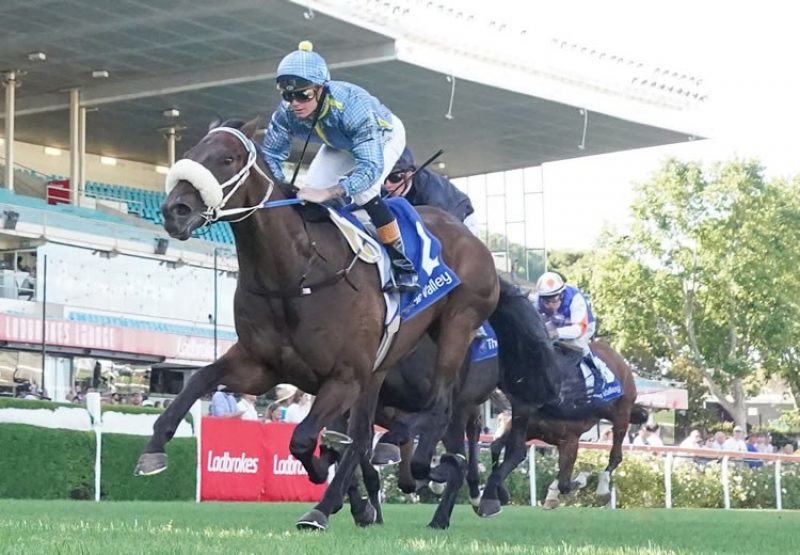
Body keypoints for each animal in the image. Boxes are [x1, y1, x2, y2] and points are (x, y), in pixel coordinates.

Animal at [134, 118, 552, 528]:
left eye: (227, 158)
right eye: (190, 153)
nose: (175, 210)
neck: (294, 275)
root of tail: (478, 246)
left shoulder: (345, 376)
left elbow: (306, 439)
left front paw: (329, 486)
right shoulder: (262, 366)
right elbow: (200, 381)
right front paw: (154, 450)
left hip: (457, 330)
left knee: (440, 413)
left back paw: (433, 482)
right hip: (383, 374)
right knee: (390, 435)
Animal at [478, 338, 648, 516]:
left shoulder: (570, 439)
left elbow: (565, 483)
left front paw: (582, 478)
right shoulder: (526, 428)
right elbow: (499, 447)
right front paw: (502, 493)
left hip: (622, 414)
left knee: (616, 455)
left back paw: (602, 489)